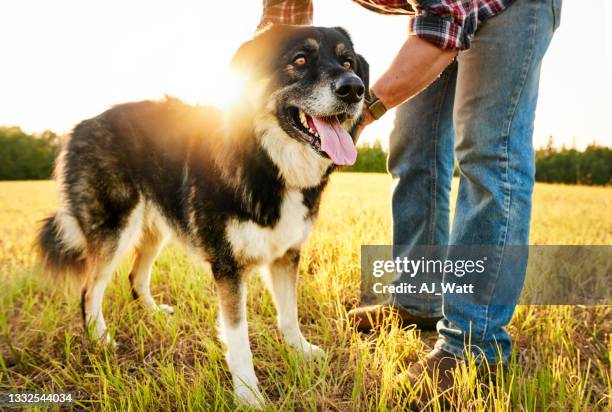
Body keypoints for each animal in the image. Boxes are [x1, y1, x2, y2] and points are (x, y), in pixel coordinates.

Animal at [37, 25, 368, 406]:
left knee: (135, 278)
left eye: (348, 62)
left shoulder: (286, 254)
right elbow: (238, 337)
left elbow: (289, 314)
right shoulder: (228, 267)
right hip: (115, 227)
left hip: (155, 228)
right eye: (300, 60)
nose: (354, 88)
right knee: (89, 290)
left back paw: (155, 315)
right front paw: (248, 395)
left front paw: (299, 350)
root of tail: (79, 126)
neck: (265, 161)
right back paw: (100, 339)